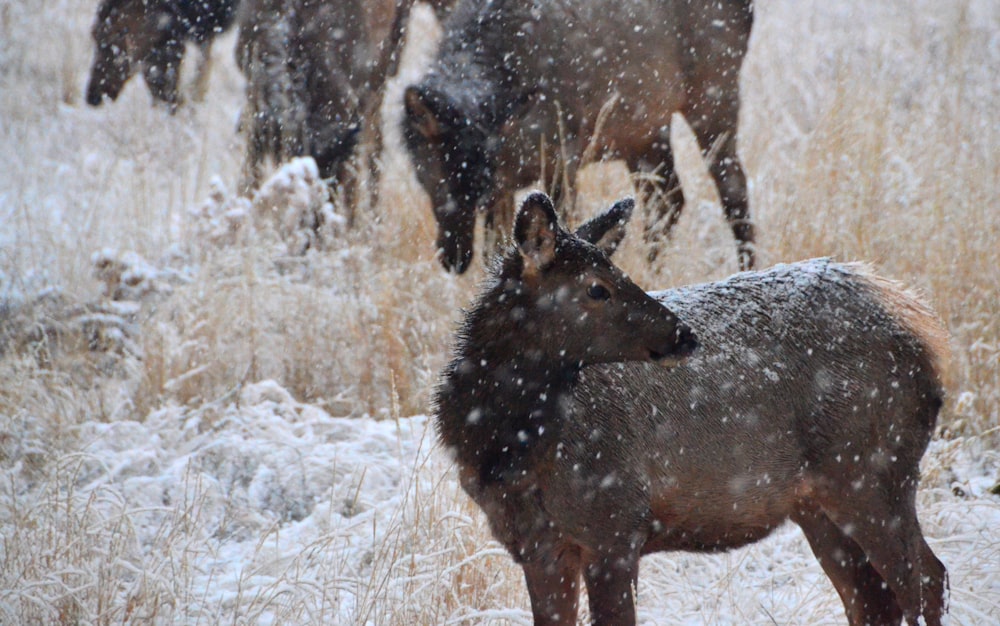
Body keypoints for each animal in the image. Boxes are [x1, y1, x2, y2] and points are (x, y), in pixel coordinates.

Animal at [402, 0, 752, 272]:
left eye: (478, 187)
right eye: (432, 177)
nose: (454, 258)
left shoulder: (562, 152)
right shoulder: (506, 185)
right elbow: (496, 248)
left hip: (715, 90)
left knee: (732, 186)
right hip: (644, 130)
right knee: (668, 198)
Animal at [440, 191, 952, 624]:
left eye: (619, 274)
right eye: (597, 287)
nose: (683, 334)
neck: (510, 452)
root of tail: (924, 333)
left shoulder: (615, 523)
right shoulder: (536, 547)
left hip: (871, 468)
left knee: (925, 577)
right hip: (819, 501)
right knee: (874, 597)